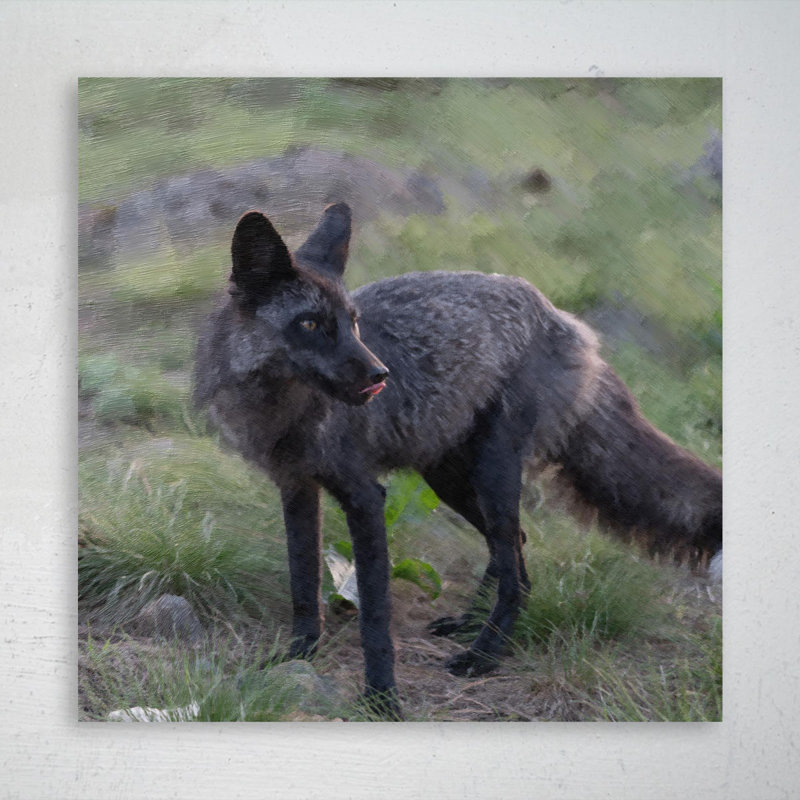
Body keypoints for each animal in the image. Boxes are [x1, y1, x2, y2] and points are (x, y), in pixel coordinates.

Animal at [193, 203, 722, 718]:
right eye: (309, 324)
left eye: (353, 322)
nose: (380, 375)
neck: (287, 413)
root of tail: (560, 315)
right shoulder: (296, 488)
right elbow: (302, 586)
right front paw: (297, 655)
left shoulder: (365, 496)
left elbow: (375, 618)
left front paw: (382, 699)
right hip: (448, 478)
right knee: (514, 552)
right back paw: (470, 624)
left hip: (492, 474)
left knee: (514, 569)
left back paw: (485, 653)